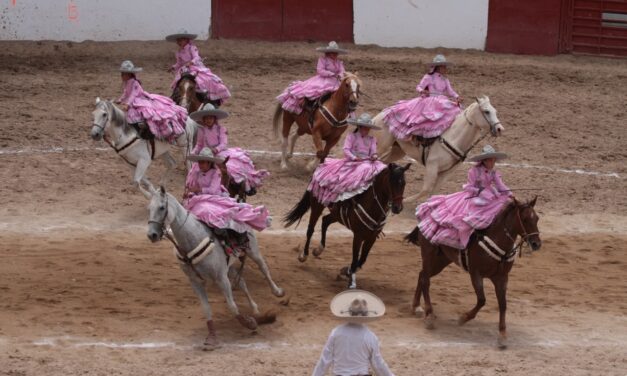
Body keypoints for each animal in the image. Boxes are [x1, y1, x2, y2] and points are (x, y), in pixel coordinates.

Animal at [145, 184, 284, 346]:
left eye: (161, 207)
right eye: (149, 208)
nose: (152, 235)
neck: (192, 240)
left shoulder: (221, 279)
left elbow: (232, 305)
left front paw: (249, 323)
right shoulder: (196, 282)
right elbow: (206, 309)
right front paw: (211, 337)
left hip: (253, 251)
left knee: (264, 269)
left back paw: (277, 292)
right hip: (229, 267)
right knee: (242, 283)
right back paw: (255, 309)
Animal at [284, 163, 412, 290]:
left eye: (404, 183)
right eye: (391, 182)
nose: (397, 208)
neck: (371, 204)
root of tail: (320, 167)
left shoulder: (371, 238)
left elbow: (362, 259)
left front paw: (345, 271)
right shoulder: (358, 236)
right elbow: (355, 260)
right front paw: (351, 282)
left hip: (336, 214)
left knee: (325, 221)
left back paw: (318, 250)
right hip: (317, 205)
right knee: (310, 229)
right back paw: (304, 255)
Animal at [372, 95, 506, 204]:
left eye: (495, 111)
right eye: (486, 111)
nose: (500, 129)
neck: (454, 138)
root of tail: (381, 114)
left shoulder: (447, 172)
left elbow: (434, 191)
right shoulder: (432, 166)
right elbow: (426, 189)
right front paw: (406, 200)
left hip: (397, 150)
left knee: (383, 161)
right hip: (381, 145)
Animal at [404, 198, 544, 348]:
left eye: (537, 218)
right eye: (525, 219)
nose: (536, 244)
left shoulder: (501, 278)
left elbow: (503, 304)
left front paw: (502, 335)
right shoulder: (476, 274)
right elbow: (482, 300)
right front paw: (463, 318)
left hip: (442, 260)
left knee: (422, 275)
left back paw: (417, 307)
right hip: (428, 254)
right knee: (426, 280)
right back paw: (429, 315)